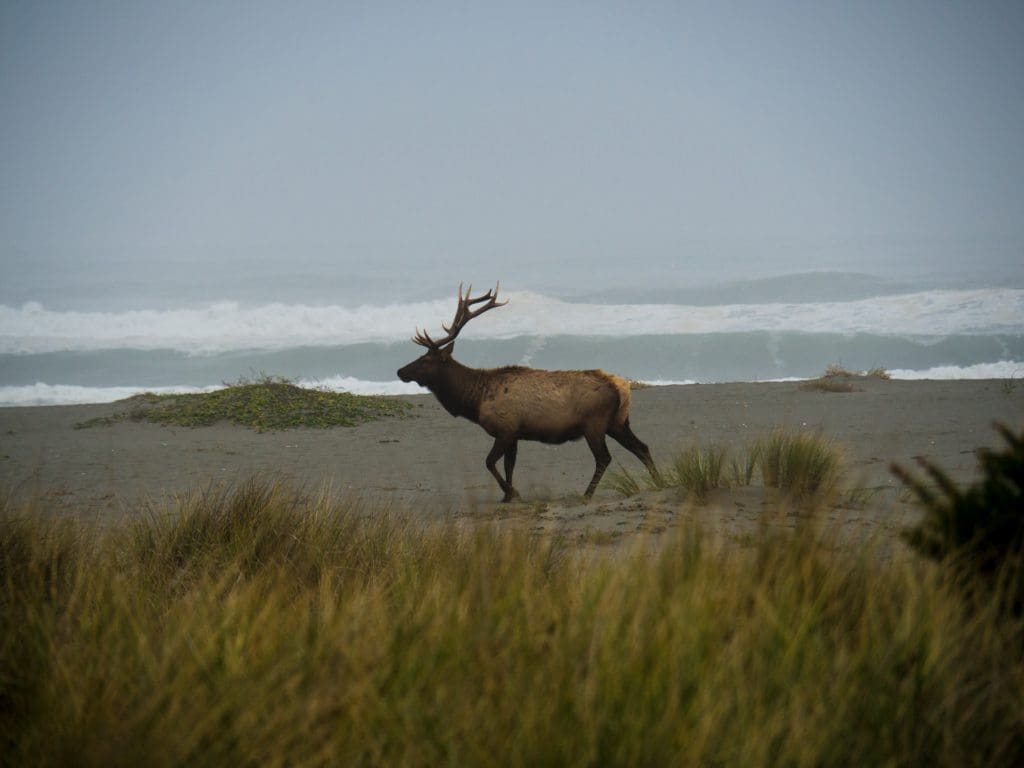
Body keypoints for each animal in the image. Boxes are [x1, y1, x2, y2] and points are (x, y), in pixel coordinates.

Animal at [395, 286, 659, 501]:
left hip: (594, 423)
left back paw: (587, 494)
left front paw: (512, 492)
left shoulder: (505, 428)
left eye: (425, 359)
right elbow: (509, 465)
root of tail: (621, 387)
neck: (475, 400)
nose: (400, 371)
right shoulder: (514, 434)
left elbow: (489, 462)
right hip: (617, 422)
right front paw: (507, 496)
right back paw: (659, 481)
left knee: (604, 458)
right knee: (642, 447)